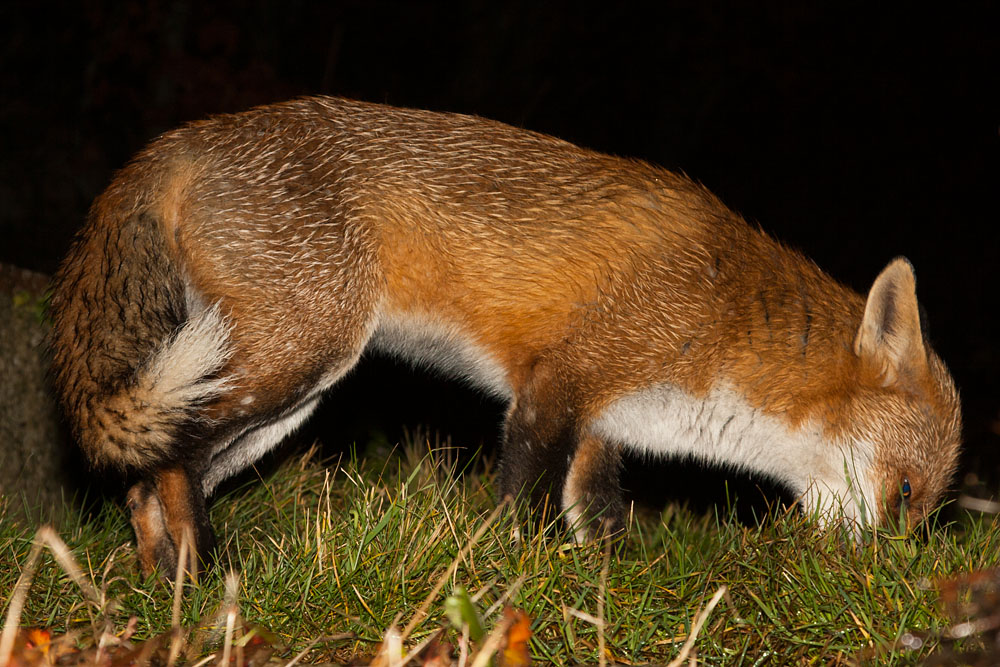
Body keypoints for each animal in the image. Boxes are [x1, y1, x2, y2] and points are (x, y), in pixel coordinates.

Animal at [49, 96, 962, 576]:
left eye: (924, 512)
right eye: (905, 492)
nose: (883, 582)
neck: (722, 319)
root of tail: (184, 137)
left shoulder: (603, 424)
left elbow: (599, 521)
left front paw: (604, 593)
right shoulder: (556, 384)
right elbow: (519, 503)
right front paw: (509, 580)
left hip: (286, 395)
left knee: (144, 483)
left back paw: (168, 587)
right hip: (291, 360)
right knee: (174, 460)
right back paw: (208, 573)